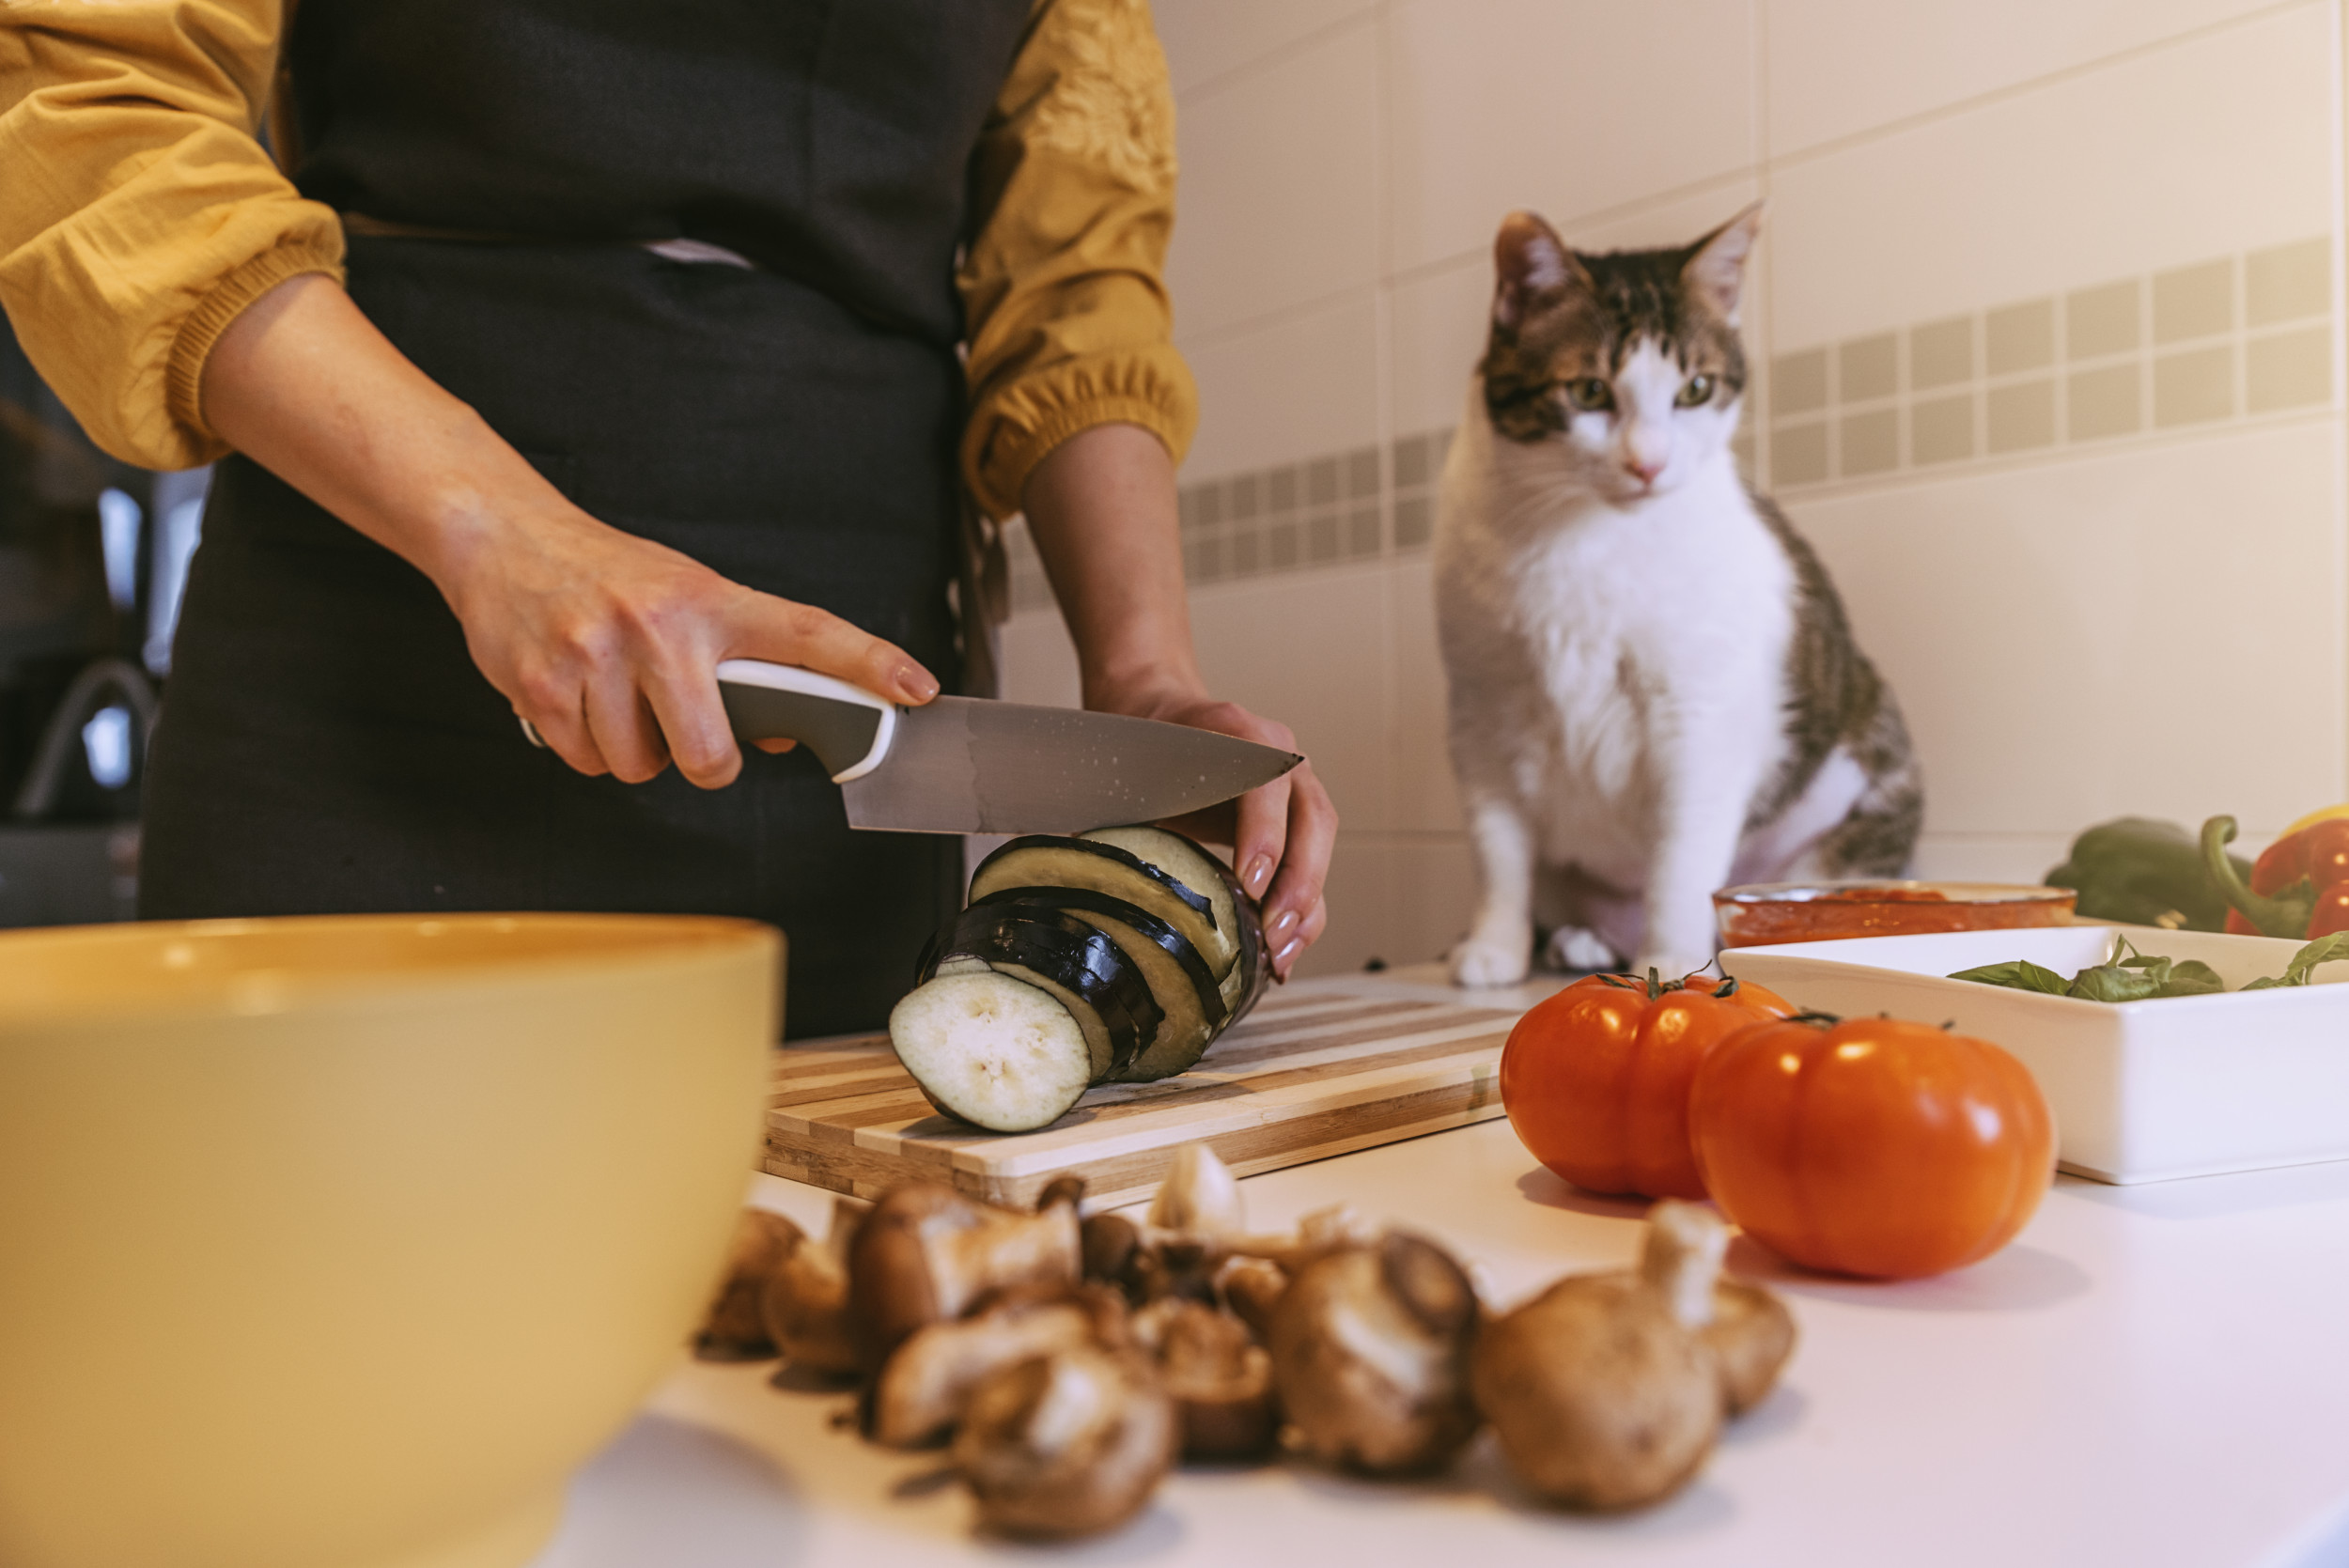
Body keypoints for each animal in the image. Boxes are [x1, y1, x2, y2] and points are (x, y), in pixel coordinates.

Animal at [1428, 201, 1926, 986]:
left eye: (1696, 389)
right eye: (1589, 391)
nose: (1649, 463)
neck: (1582, 541)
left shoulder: (1698, 712)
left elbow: (1681, 859)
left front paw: (1666, 959)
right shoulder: (1482, 711)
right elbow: (1497, 849)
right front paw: (1495, 948)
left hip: (1863, 795)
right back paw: (1581, 940)